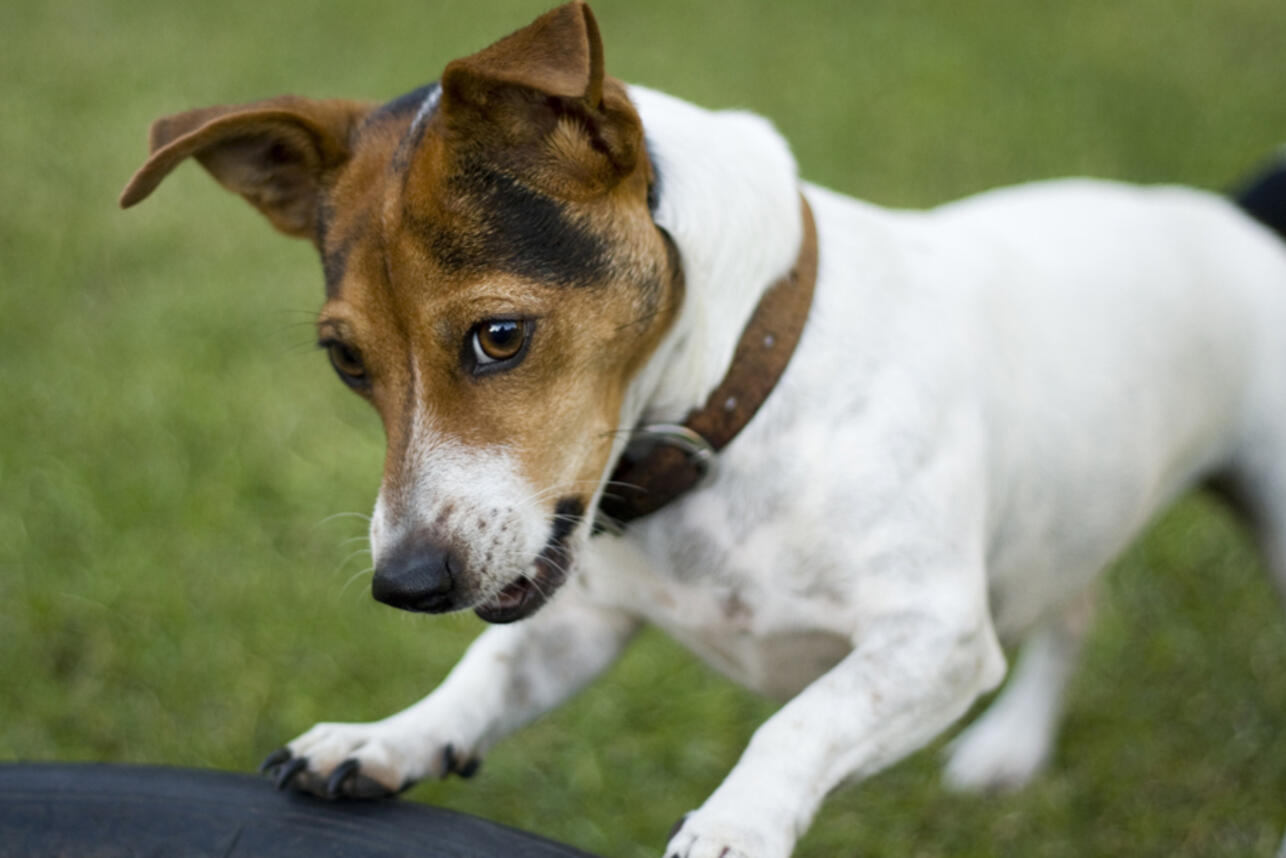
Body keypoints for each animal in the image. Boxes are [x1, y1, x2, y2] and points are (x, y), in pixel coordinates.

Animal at [118, 3, 1286, 854]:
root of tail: (1233, 217)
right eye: (345, 360)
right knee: (1077, 605)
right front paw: (391, 736)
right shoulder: (579, 619)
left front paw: (735, 823)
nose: (405, 586)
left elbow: (795, 719)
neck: (743, 396)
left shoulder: (933, 642)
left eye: (498, 336)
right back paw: (1009, 751)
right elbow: (487, 674)